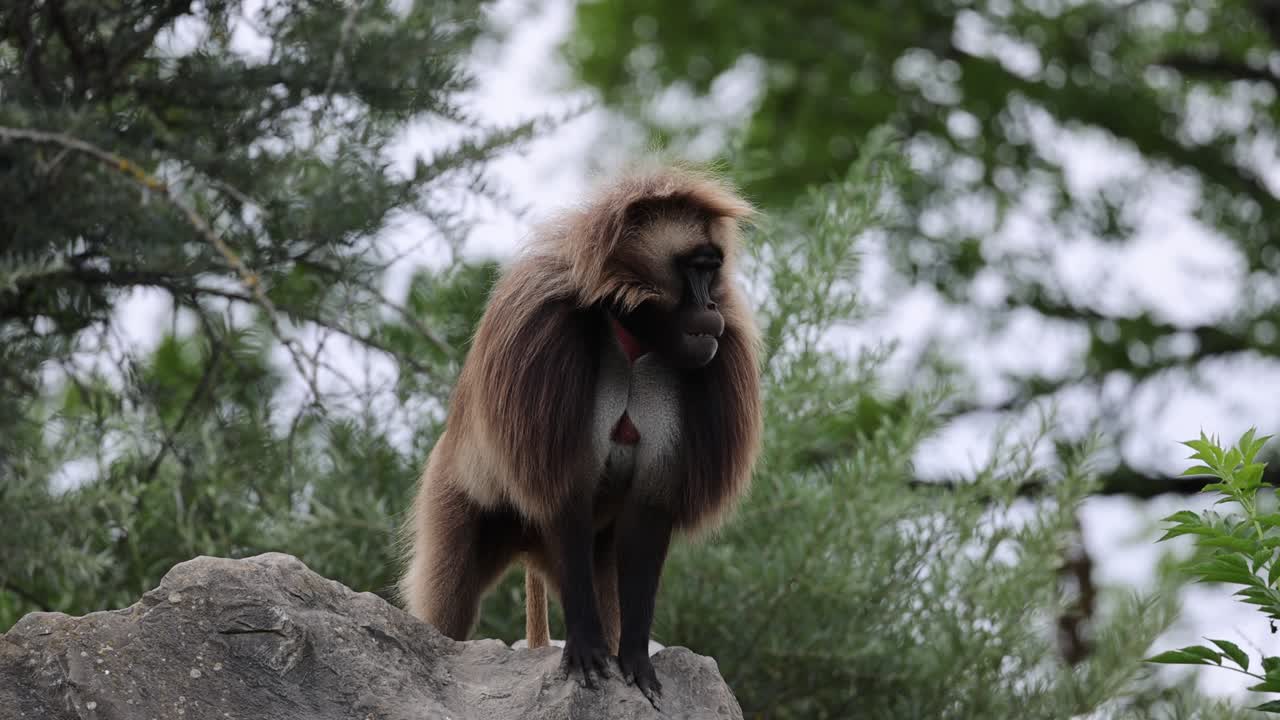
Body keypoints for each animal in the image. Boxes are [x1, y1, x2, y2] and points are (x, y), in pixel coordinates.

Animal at [398, 164, 762, 704]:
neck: (631, 328)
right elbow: (564, 489)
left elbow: (649, 511)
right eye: (694, 268)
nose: (713, 308)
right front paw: (587, 649)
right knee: (449, 604)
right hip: (457, 498)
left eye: (711, 268)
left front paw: (632, 657)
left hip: (595, 549)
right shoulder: (543, 336)